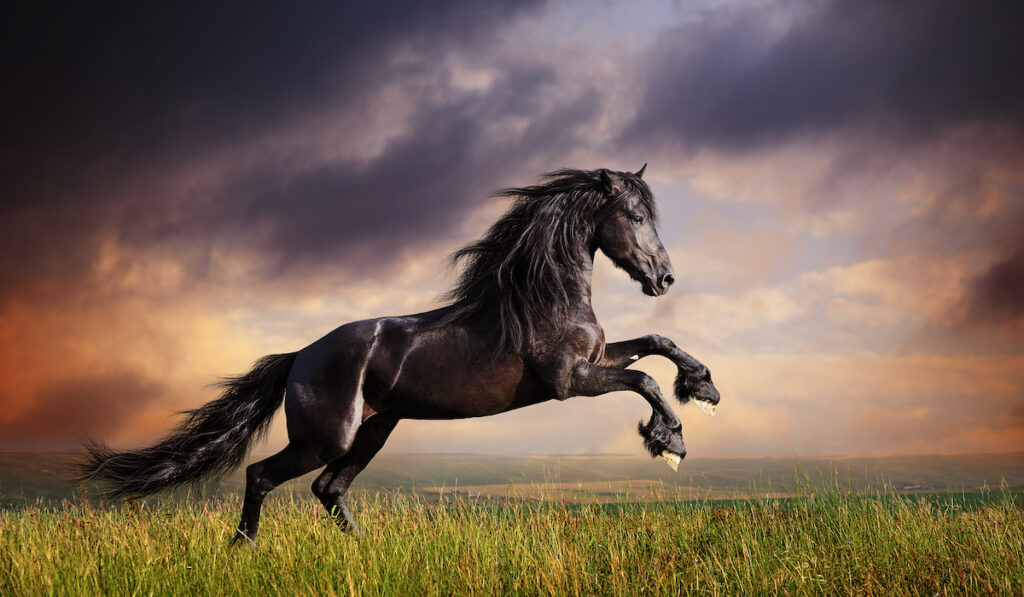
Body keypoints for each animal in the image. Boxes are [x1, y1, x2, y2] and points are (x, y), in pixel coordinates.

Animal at [77, 165, 720, 544]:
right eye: (635, 216)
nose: (664, 279)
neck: (543, 296)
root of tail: (299, 355)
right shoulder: (568, 381)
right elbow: (644, 381)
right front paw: (670, 442)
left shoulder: (596, 359)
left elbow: (656, 346)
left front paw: (704, 389)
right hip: (327, 436)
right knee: (264, 475)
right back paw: (244, 548)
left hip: (374, 429)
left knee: (329, 490)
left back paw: (359, 551)